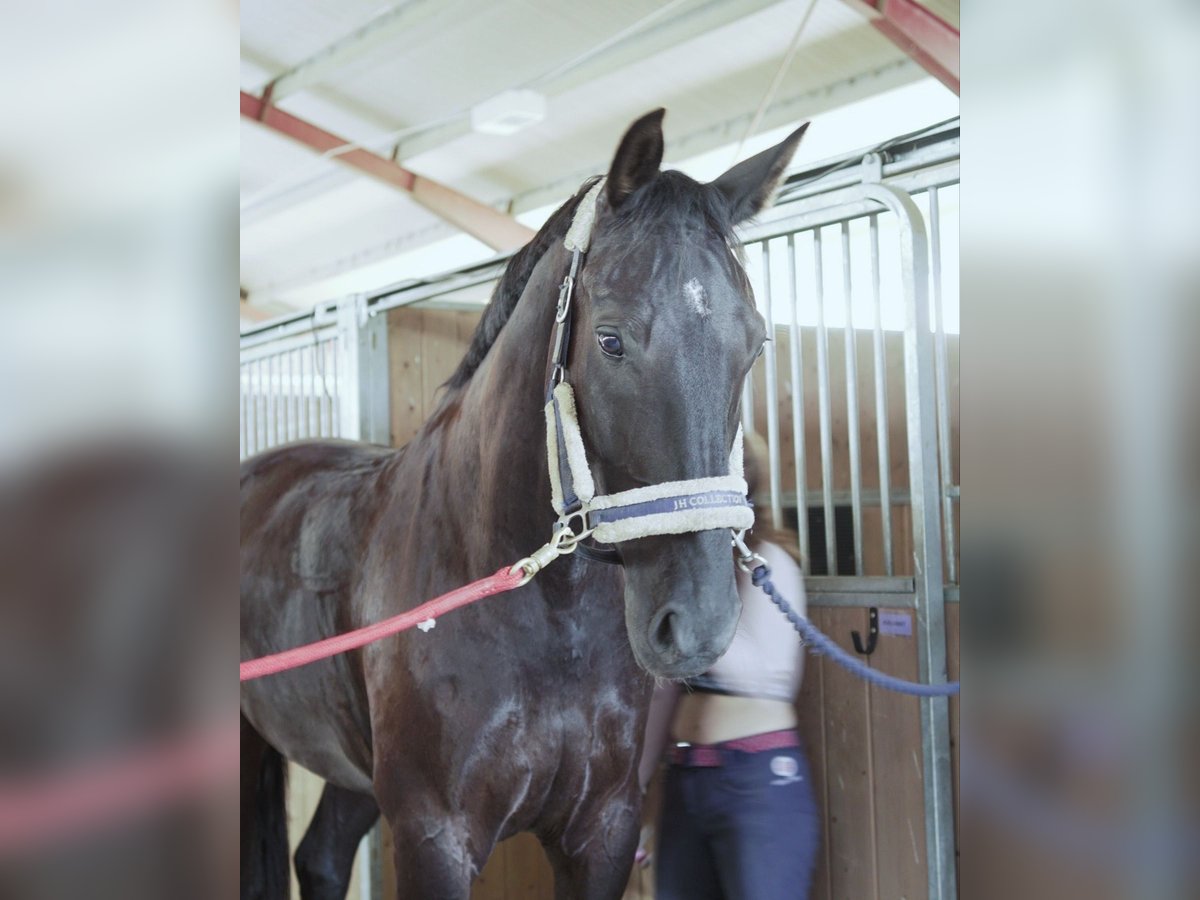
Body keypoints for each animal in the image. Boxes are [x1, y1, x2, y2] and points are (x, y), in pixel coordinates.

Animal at [241, 112, 806, 900]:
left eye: (753, 346)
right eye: (610, 340)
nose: (697, 624)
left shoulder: (601, 831)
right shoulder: (433, 837)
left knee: (320, 856)